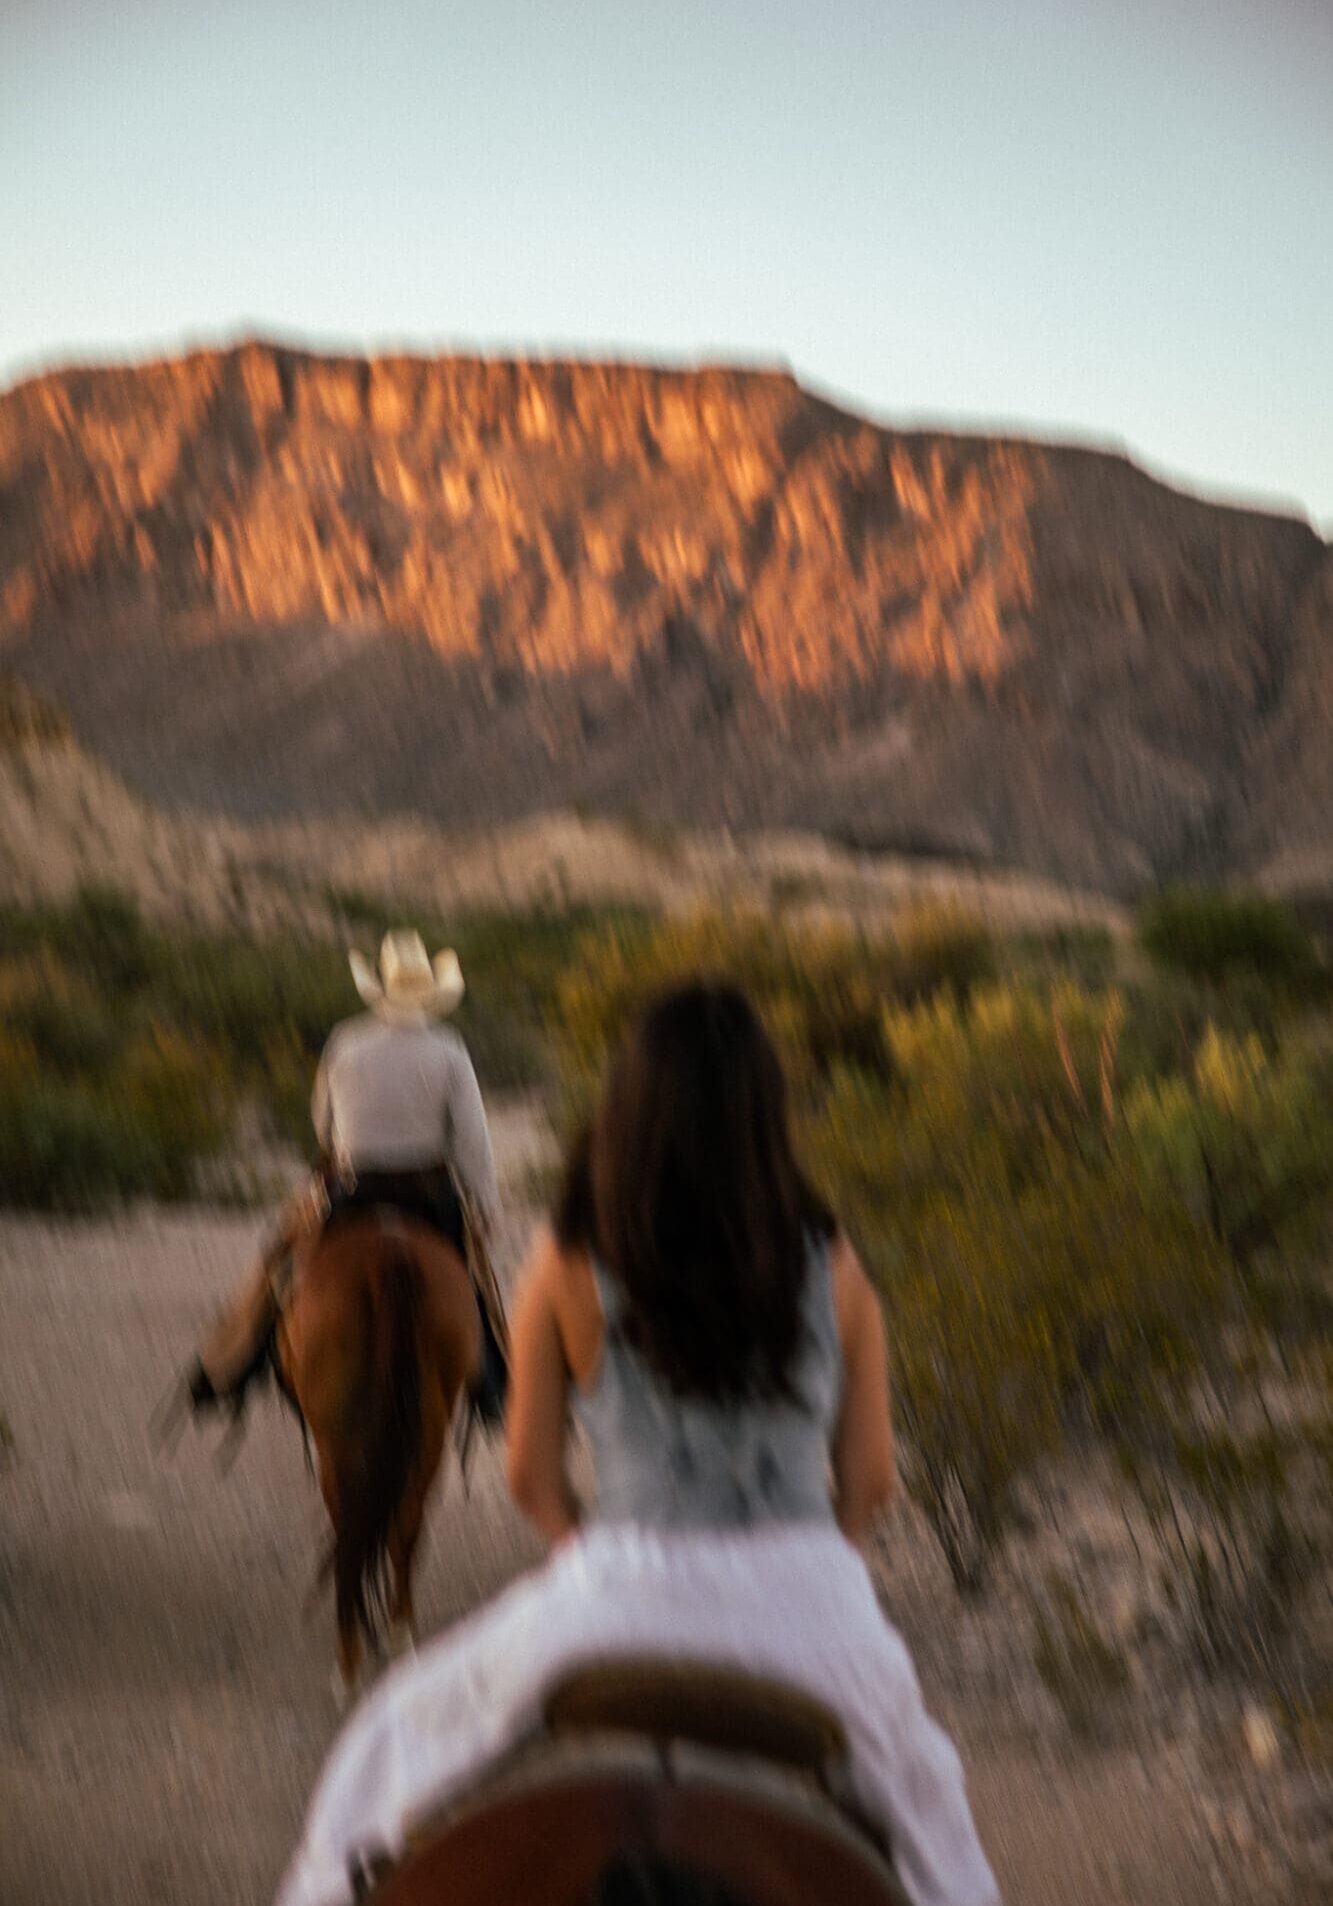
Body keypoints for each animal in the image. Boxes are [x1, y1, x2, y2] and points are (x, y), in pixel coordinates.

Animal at [274, 1212, 482, 1692]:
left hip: (336, 1441)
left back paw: (348, 1666)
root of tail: (390, 1258)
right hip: (431, 1421)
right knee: (405, 1526)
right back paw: (400, 1636)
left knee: (349, 1537)